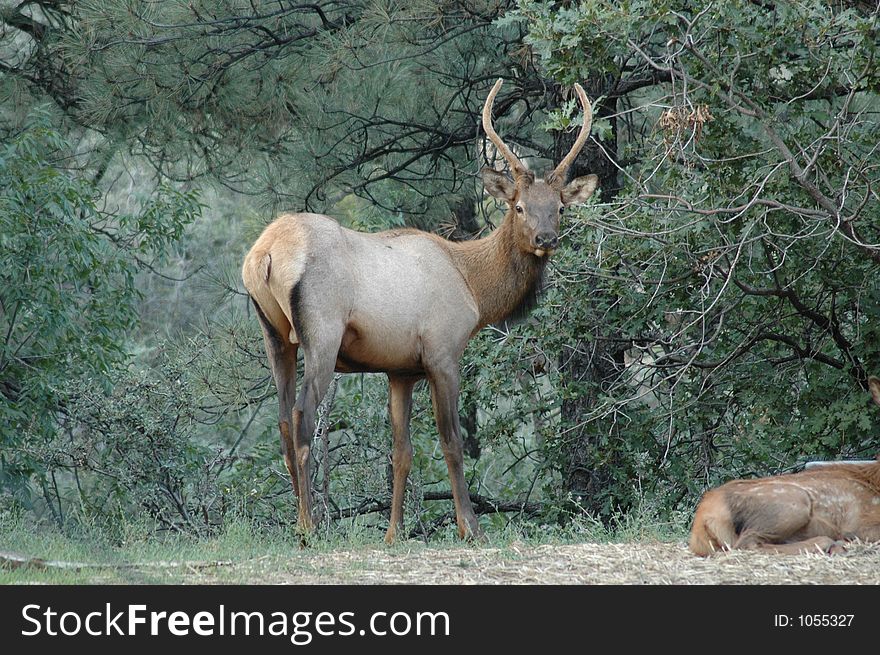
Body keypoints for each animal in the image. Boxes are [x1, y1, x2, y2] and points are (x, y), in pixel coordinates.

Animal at [241, 79, 600, 544]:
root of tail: (263, 255)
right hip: (322, 332)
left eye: (559, 207)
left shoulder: (400, 370)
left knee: (284, 420)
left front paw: (394, 533)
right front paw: (470, 527)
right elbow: (452, 443)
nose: (545, 238)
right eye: (519, 206)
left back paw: (301, 522)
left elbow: (402, 452)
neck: (475, 289)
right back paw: (309, 527)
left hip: (273, 335)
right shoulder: (442, 353)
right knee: (302, 418)